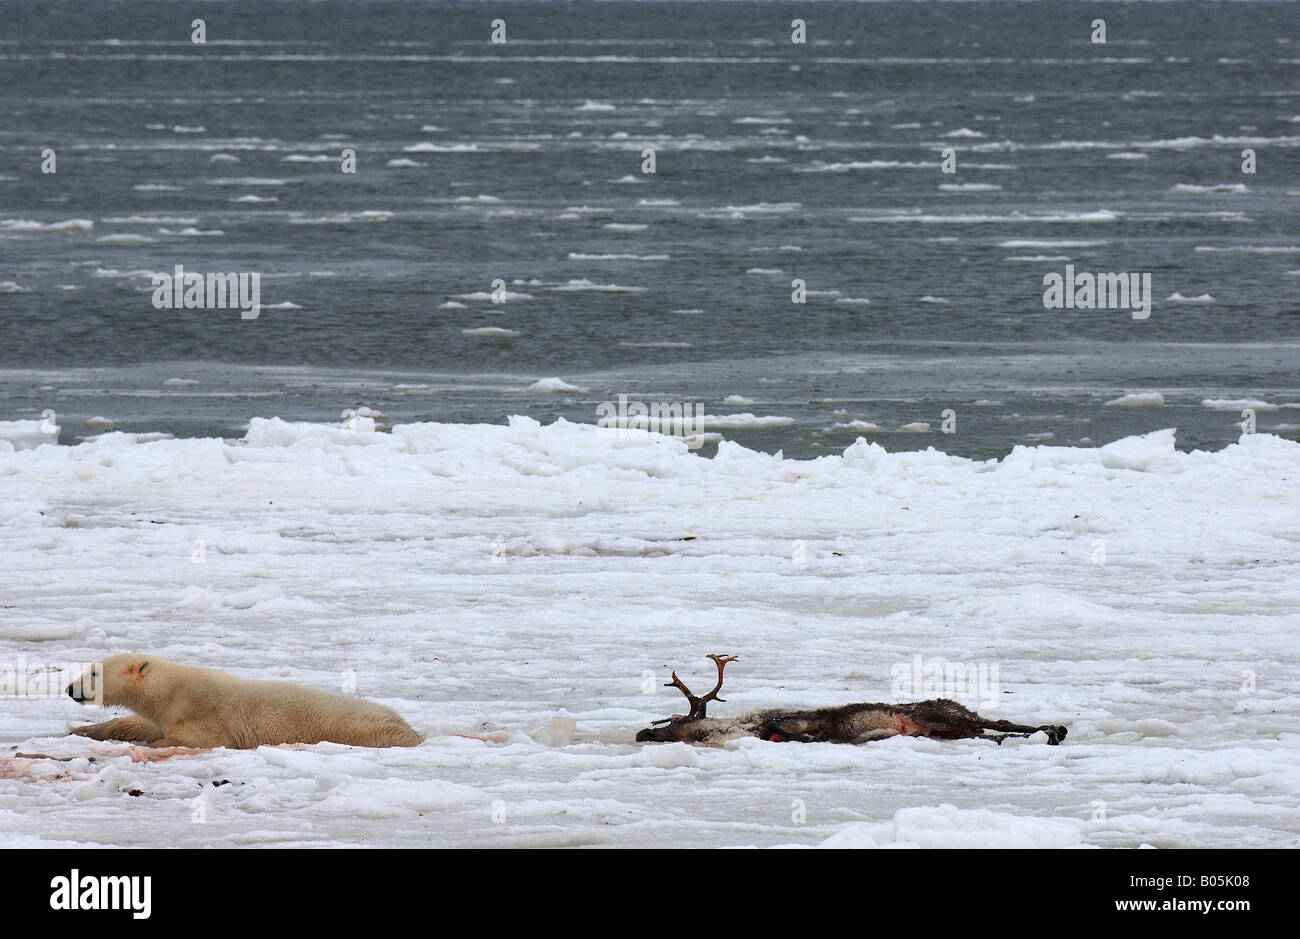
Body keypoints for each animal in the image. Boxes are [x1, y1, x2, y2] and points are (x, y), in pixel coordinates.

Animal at [65, 650, 421, 743]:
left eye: (94, 673)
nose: (70, 689)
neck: (171, 690)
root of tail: (408, 728)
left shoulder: (199, 713)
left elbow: (193, 740)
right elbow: (140, 726)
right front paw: (81, 730)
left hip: (363, 729)